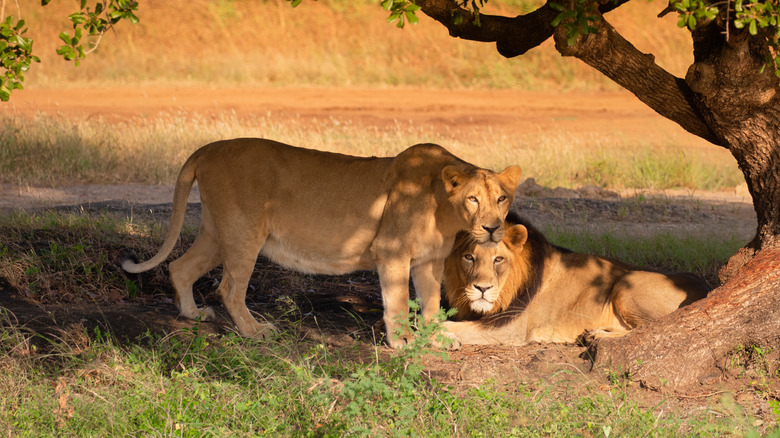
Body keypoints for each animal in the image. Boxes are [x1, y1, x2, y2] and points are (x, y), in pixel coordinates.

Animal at [122, 139, 520, 348]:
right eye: (473, 199)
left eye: (501, 199)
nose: (492, 228)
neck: (444, 208)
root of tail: (207, 148)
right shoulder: (391, 251)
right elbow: (395, 301)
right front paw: (401, 342)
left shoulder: (428, 261)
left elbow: (432, 302)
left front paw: (435, 338)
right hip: (244, 233)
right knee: (229, 288)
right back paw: (254, 331)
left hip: (217, 233)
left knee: (180, 267)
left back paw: (192, 314)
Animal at [442, 212, 708, 346]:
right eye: (469, 257)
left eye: (498, 259)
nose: (482, 288)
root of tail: (705, 286)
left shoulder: (510, 328)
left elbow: (449, 326)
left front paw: (442, 338)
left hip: (626, 283)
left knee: (649, 328)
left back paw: (596, 336)